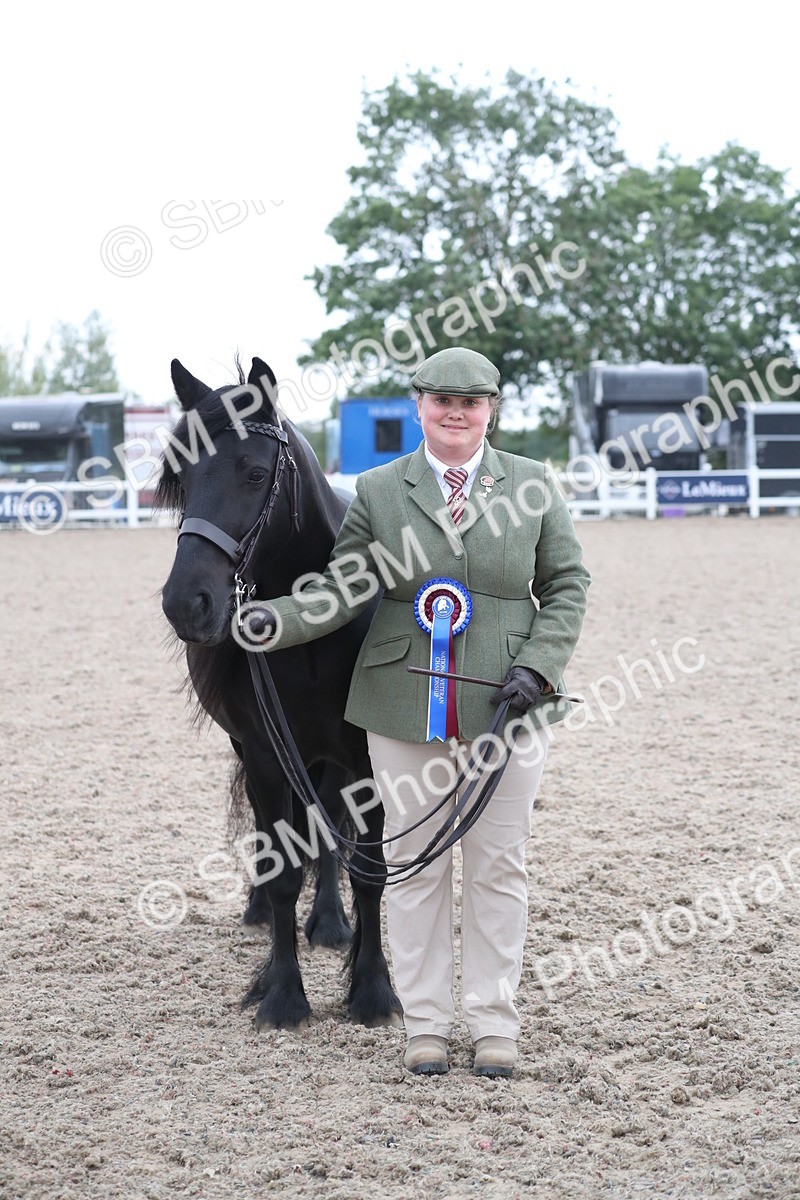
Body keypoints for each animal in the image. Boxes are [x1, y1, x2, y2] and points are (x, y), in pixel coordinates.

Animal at [157, 355, 402, 1030]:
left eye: (255, 472)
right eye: (180, 474)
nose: (186, 601)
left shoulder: (364, 757)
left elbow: (368, 871)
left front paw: (373, 990)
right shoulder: (266, 755)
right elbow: (283, 866)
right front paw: (283, 993)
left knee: (329, 833)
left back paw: (331, 923)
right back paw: (264, 910)